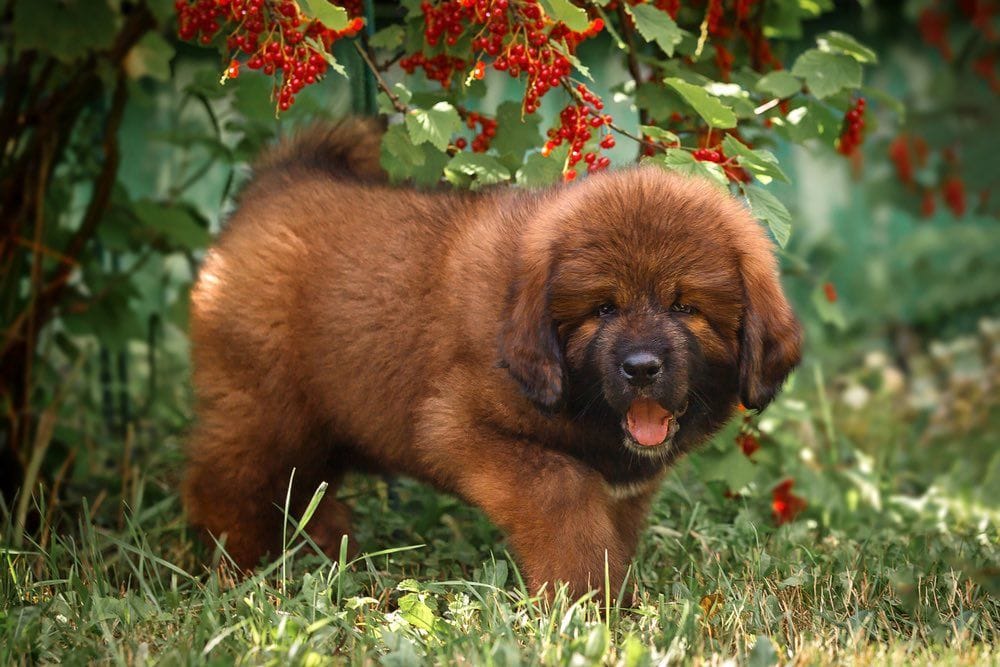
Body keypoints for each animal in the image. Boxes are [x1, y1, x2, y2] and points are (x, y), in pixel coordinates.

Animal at [184, 121, 800, 600]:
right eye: (603, 308)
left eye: (686, 307)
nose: (642, 367)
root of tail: (279, 181)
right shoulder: (458, 424)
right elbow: (564, 492)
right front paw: (584, 601)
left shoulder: (624, 486)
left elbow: (614, 525)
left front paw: (613, 600)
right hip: (266, 408)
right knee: (230, 484)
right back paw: (238, 572)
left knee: (304, 490)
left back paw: (331, 555)